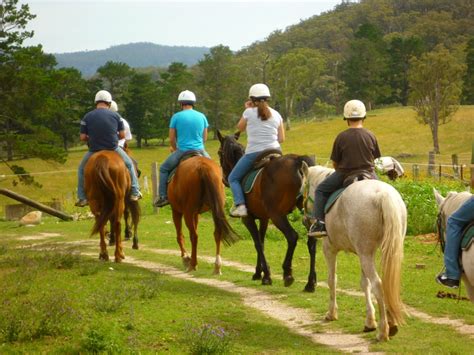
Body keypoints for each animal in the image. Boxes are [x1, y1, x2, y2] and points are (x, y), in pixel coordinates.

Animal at [217, 131, 312, 286]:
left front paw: (266, 275)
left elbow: (257, 244)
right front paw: (258, 272)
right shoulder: (264, 219)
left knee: (292, 237)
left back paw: (288, 273)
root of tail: (297, 161)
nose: (224, 179)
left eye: (219, 152)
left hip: (277, 215)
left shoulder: (248, 219)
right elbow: (261, 242)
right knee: (312, 241)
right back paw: (310, 283)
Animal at [306, 167, 406, 342]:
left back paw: (383, 331)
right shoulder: (363, 253)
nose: (306, 220)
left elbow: (332, 280)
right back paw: (391, 323)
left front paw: (331, 313)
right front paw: (369, 321)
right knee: (388, 283)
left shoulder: (329, 249)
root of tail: (382, 194)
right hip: (381, 252)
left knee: (378, 284)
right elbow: (364, 283)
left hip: (365, 254)